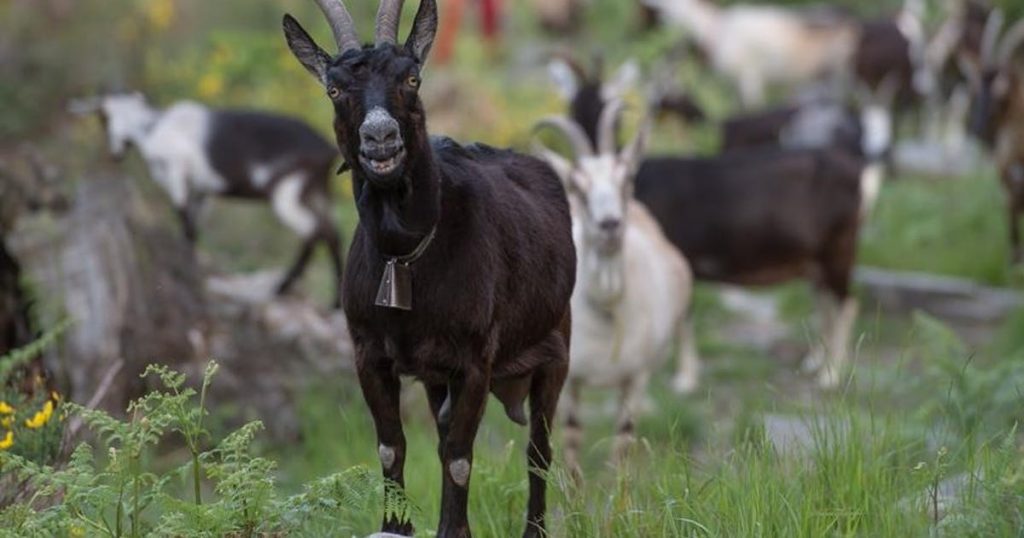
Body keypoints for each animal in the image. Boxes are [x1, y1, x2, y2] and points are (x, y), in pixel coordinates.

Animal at [71, 92, 348, 305]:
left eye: (103, 118)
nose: (115, 154)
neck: (152, 128)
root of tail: (326, 150)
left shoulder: (177, 175)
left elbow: (185, 222)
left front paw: (187, 268)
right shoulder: (202, 190)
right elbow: (194, 225)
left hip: (287, 192)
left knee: (312, 231)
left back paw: (281, 288)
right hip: (316, 190)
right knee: (332, 233)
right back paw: (335, 302)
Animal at [284, 1, 581, 536]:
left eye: (412, 78)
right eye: (334, 88)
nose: (380, 138)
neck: (406, 255)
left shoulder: (476, 360)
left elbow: (460, 458)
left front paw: (451, 529)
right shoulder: (370, 354)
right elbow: (392, 447)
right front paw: (397, 525)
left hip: (555, 351)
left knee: (539, 452)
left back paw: (535, 528)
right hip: (436, 379)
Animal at [536, 99, 696, 469]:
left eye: (626, 179)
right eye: (578, 187)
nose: (610, 224)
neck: (606, 307)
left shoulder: (635, 377)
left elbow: (623, 440)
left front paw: (617, 487)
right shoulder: (570, 379)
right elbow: (572, 437)